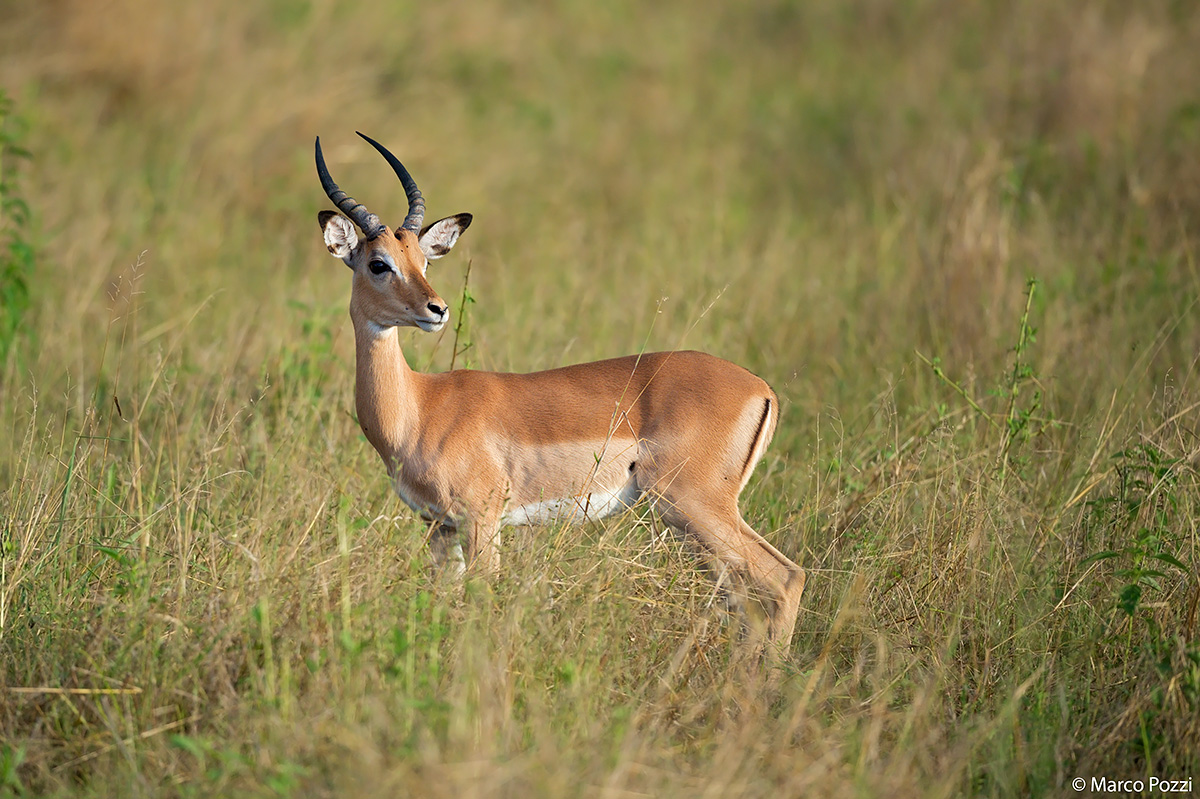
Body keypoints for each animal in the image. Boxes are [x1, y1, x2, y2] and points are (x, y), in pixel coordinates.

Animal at [314, 133, 806, 650]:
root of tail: (762, 388)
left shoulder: (482, 521)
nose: (437, 309)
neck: (420, 408)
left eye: (423, 260)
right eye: (379, 263)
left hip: (694, 504)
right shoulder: (440, 528)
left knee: (784, 580)